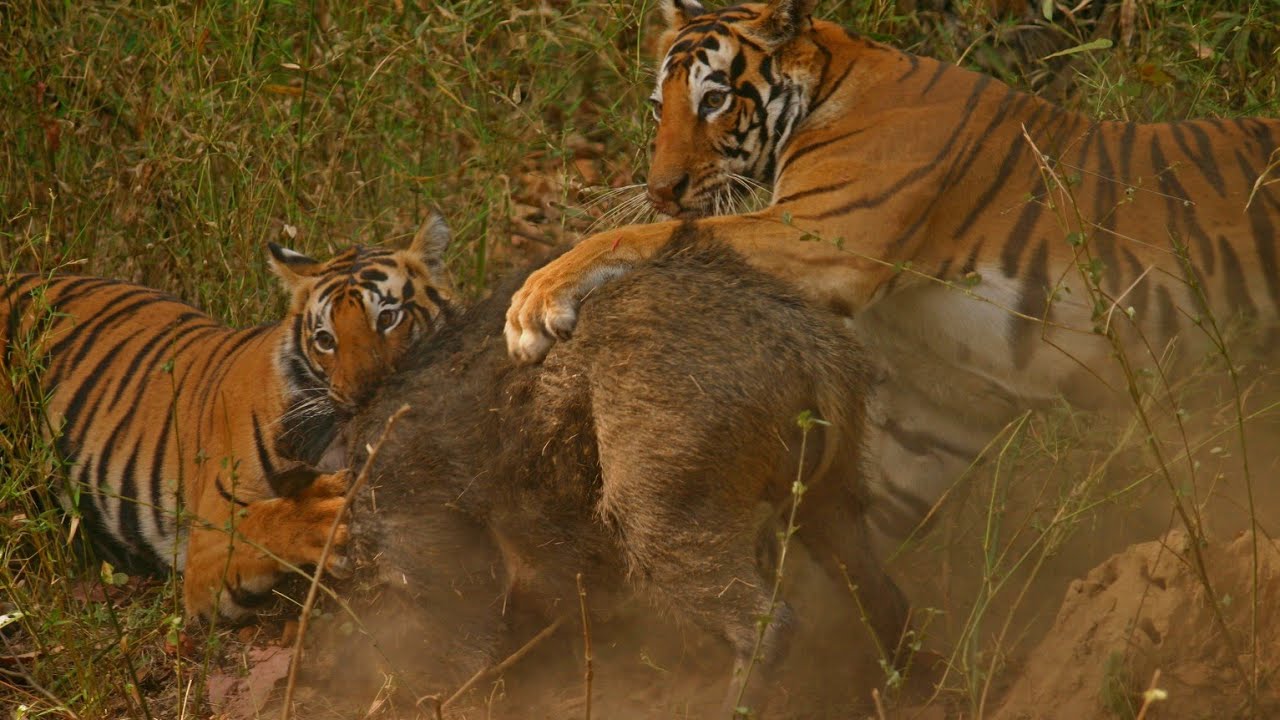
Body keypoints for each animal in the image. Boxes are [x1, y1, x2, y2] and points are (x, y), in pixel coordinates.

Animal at [0, 218, 453, 619]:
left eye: (388, 318)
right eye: (325, 340)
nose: (364, 396)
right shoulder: (207, 544)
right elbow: (265, 524)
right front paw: (330, 519)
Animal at [502, 0, 1280, 551]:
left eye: (715, 100)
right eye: (657, 106)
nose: (661, 188)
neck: (830, 85)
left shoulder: (825, 234)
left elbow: (644, 236)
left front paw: (533, 306)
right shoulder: (937, 409)